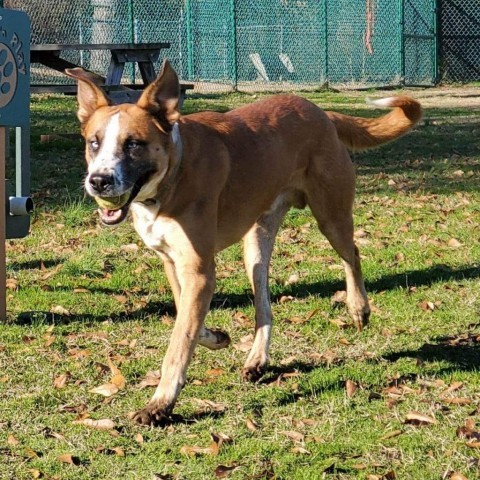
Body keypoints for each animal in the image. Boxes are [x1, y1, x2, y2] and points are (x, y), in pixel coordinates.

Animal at [66, 61, 420, 428]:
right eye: (94, 143)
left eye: (134, 143)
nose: (98, 181)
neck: (173, 174)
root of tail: (319, 112)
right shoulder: (173, 263)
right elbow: (186, 319)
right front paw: (216, 337)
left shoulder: (199, 271)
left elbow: (179, 343)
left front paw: (160, 403)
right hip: (256, 246)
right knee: (265, 305)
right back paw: (257, 359)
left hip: (331, 216)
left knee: (352, 254)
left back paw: (358, 307)